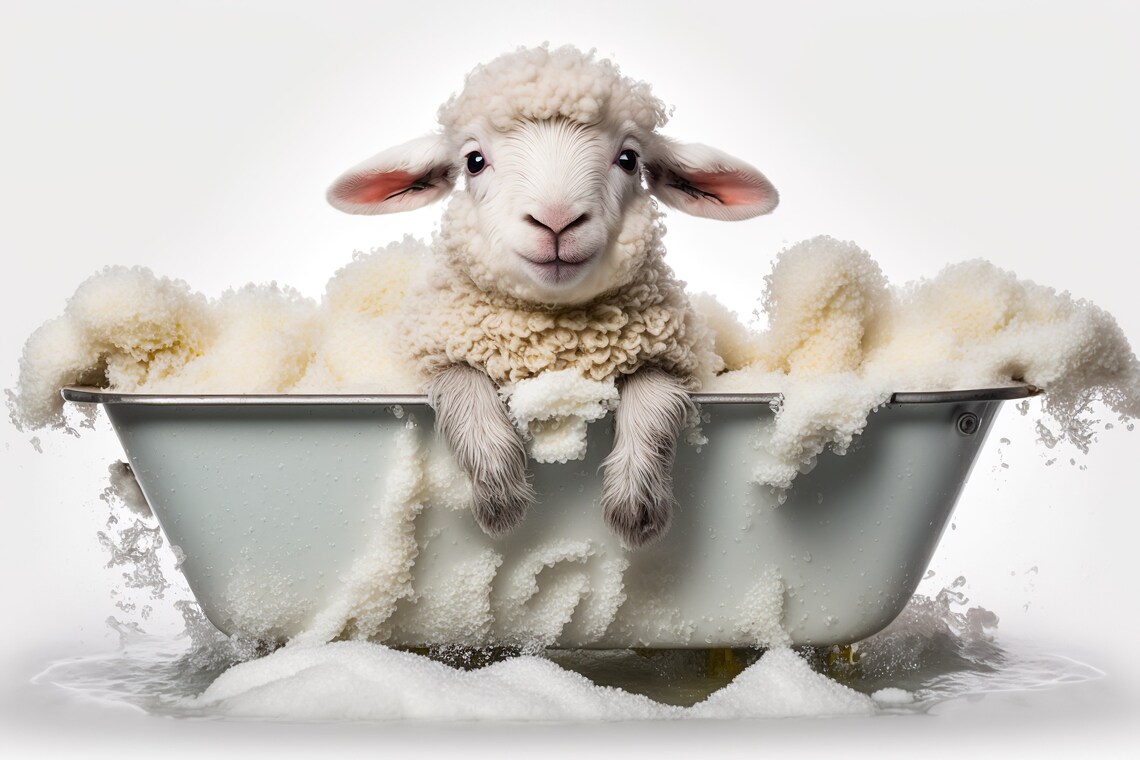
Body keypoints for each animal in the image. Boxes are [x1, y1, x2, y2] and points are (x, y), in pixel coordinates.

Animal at [327, 45, 778, 548]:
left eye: (628, 158)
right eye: (474, 161)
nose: (557, 221)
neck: (553, 334)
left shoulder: (669, 350)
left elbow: (655, 392)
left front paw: (636, 501)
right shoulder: (431, 351)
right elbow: (462, 378)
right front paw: (499, 494)